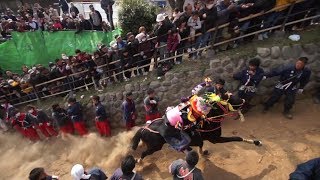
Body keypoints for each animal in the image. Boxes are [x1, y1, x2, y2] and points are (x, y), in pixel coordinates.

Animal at [131, 95, 262, 161]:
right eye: (230, 100)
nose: (245, 101)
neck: (208, 120)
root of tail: (144, 128)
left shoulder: (202, 139)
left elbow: (200, 145)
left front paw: (203, 153)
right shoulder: (216, 139)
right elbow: (237, 138)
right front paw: (256, 142)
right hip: (155, 147)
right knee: (144, 153)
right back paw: (138, 162)